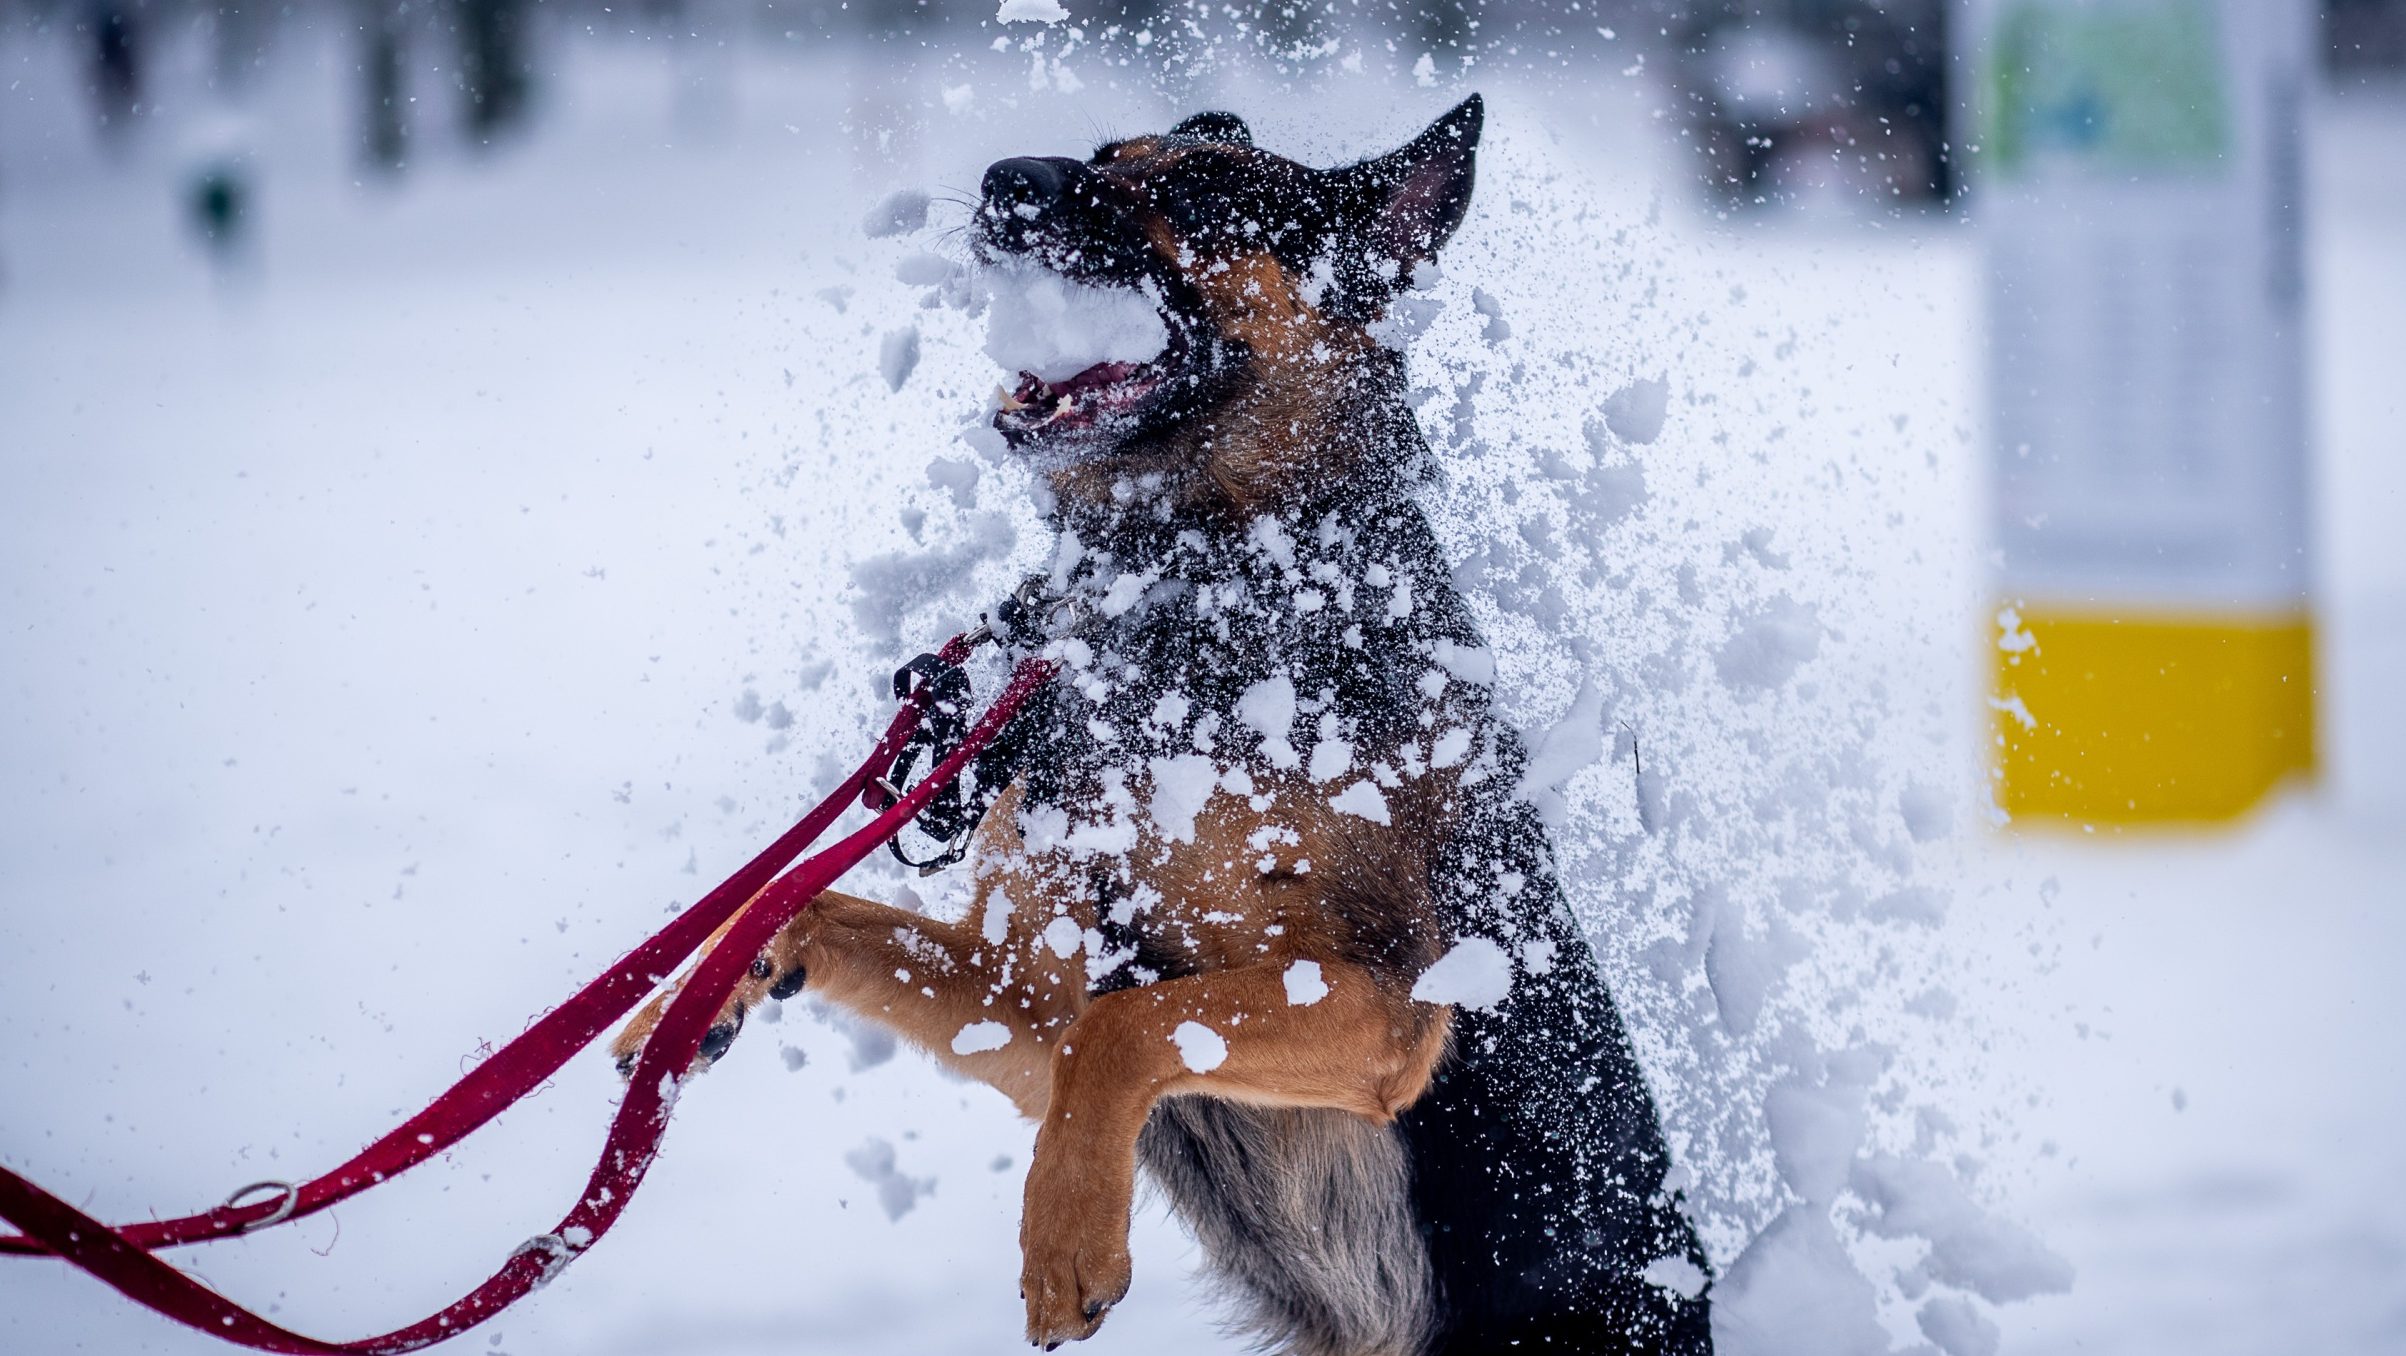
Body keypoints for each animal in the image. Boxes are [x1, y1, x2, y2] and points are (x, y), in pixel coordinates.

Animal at [615, 97, 1713, 1356]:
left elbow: (1130, 1026)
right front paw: (687, 1002)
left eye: (1199, 200)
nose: (1003, 177)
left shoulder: (1388, 1008)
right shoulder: (1021, 1008)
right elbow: (813, 905)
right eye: (1104, 158)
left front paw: (1066, 1242)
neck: (1190, 581)